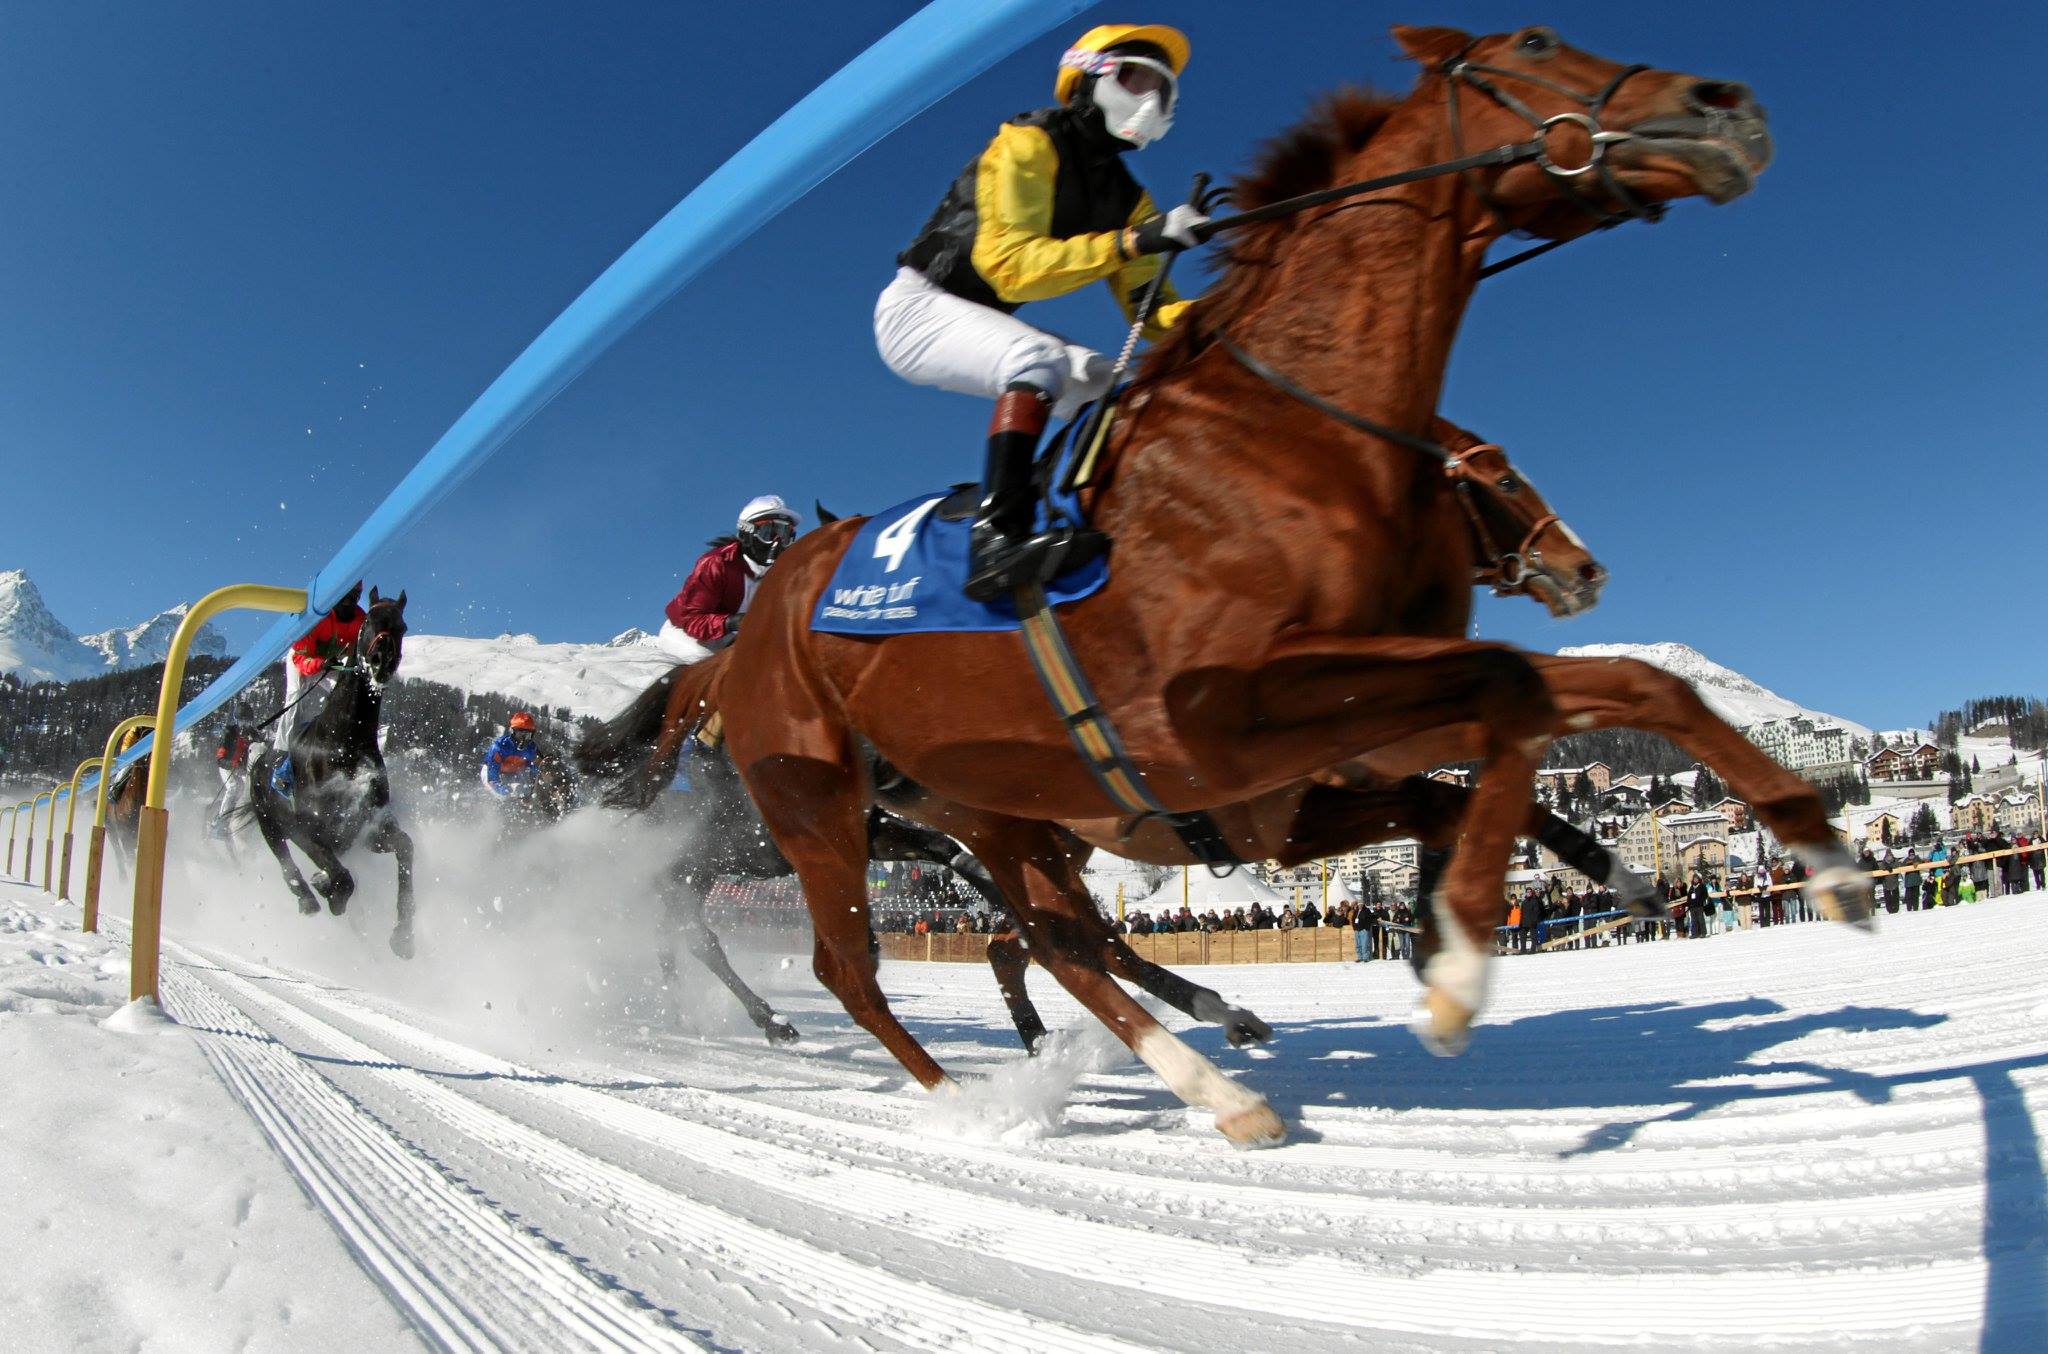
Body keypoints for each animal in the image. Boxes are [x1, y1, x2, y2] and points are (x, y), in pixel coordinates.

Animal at [237, 589, 417, 962]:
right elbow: (341, 878)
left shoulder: (366, 831)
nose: (382, 661)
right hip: (268, 823)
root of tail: (259, 762)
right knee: (285, 862)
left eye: (403, 626)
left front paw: (403, 937)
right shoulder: (306, 828)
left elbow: (405, 847)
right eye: (370, 620)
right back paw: (308, 898)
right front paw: (329, 890)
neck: (345, 742)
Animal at [708, 23, 1875, 1138]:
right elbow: (1508, 697)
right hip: (818, 805)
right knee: (861, 964)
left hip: (997, 811)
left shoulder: (1339, 742)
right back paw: (968, 1096)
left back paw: (1210, 1076)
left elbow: (1603, 692)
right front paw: (1457, 961)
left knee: (1054, 938)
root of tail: (746, 636)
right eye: (1535, 44)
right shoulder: (1220, 720)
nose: (1725, 106)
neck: (1290, 435)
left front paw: (1800, 852)